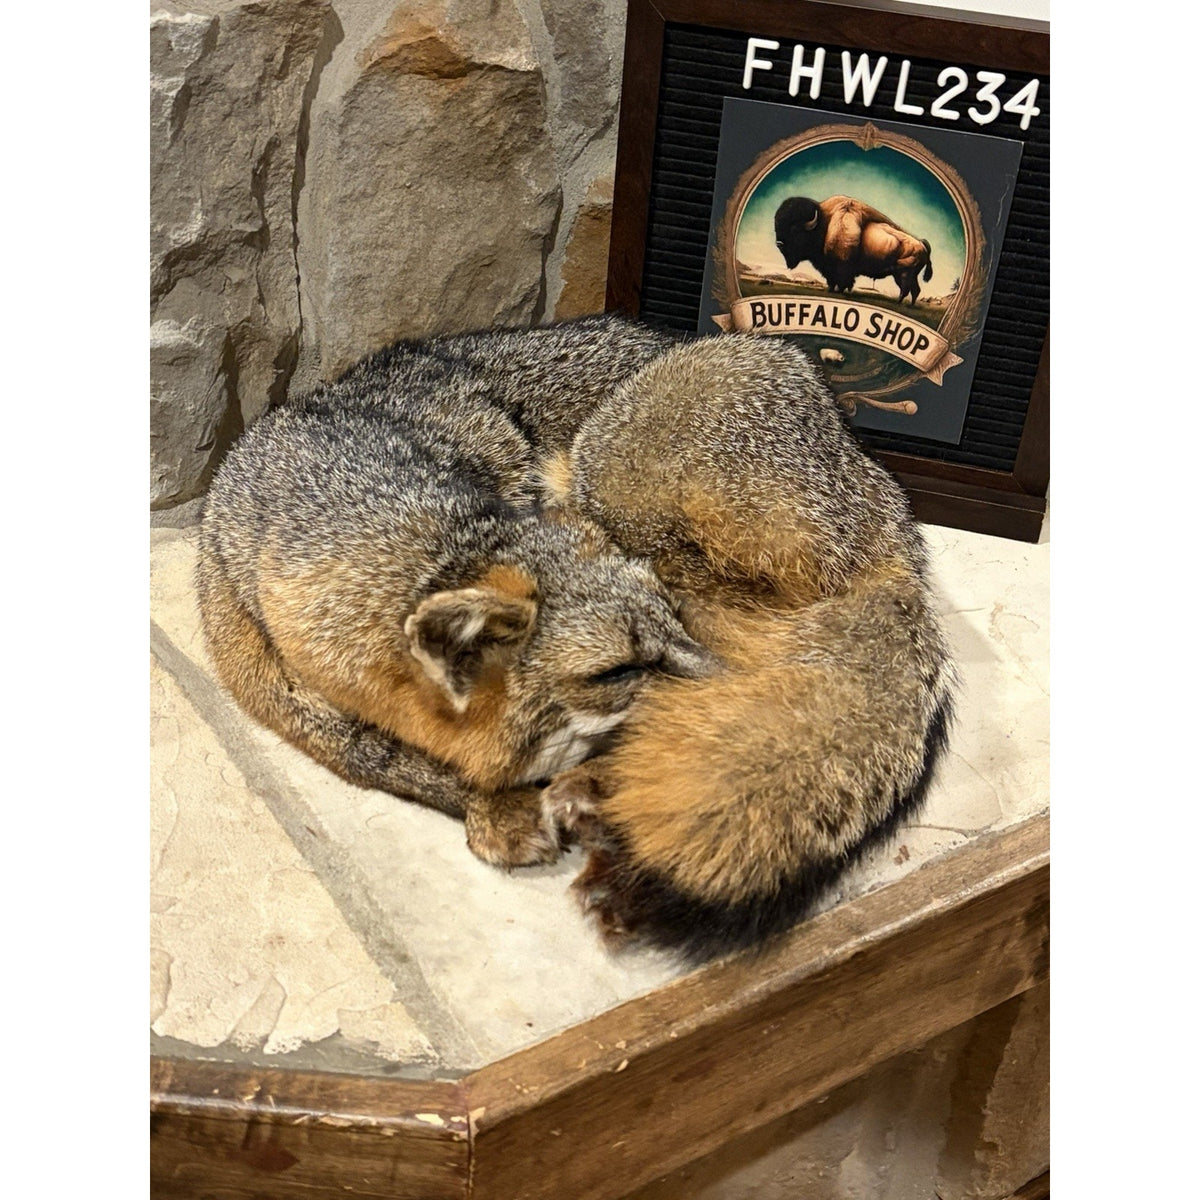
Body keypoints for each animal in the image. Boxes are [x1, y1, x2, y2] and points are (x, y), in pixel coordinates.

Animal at [195, 316, 718, 869]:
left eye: (674, 617)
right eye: (616, 670)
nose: (737, 682)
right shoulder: (276, 689)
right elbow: (381, 758)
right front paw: (500, 803)